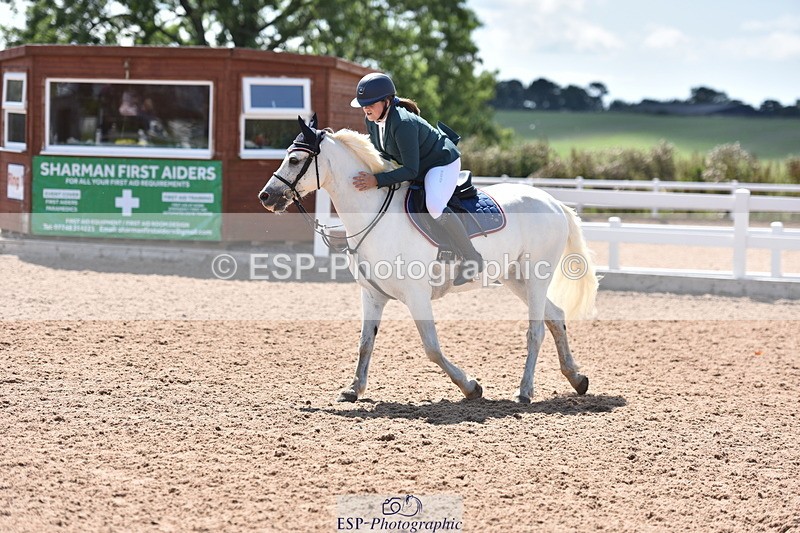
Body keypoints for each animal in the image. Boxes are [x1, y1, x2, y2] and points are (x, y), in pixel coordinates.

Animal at [258, 116, 599, 404]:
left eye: (294, 160)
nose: (266, 197)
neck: (373, 215)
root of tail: (553, 202)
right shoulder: (372, 295)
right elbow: (365, 343)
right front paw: (353, 389)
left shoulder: (417, 295)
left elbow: (432, 348)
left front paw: (470, 387)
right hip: (516, 278)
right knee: (555, 317)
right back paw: (577, 378)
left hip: (536, 276)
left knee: (536, 331)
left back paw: (525, 391)